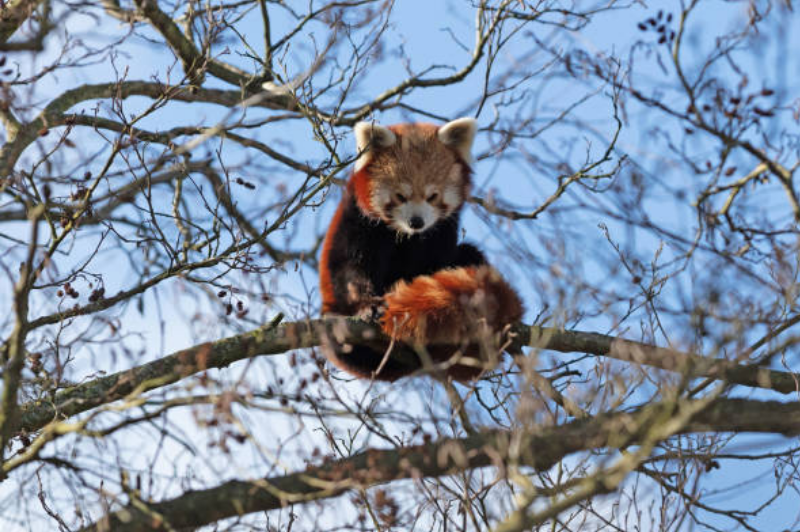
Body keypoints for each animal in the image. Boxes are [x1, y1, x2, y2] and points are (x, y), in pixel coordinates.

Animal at [318, 118, 524, 380]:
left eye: (433, 196)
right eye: (400, 196)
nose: (416, 221)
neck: (407, 237)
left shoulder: (441, 231)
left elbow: (435, 266)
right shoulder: (358, 221)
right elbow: (350, 268)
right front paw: (367, 305)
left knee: (470, 254)